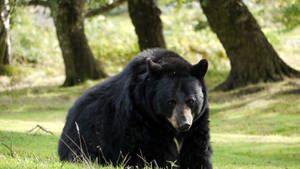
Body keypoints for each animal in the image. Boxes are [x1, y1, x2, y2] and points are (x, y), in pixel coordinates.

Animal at [58, 48, 212, 168]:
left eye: (191, 100)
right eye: (170, 101)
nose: (184, 124)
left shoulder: (198, 123)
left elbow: (197, 152)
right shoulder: (140, 120)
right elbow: (151, 153)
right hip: (83, 142)